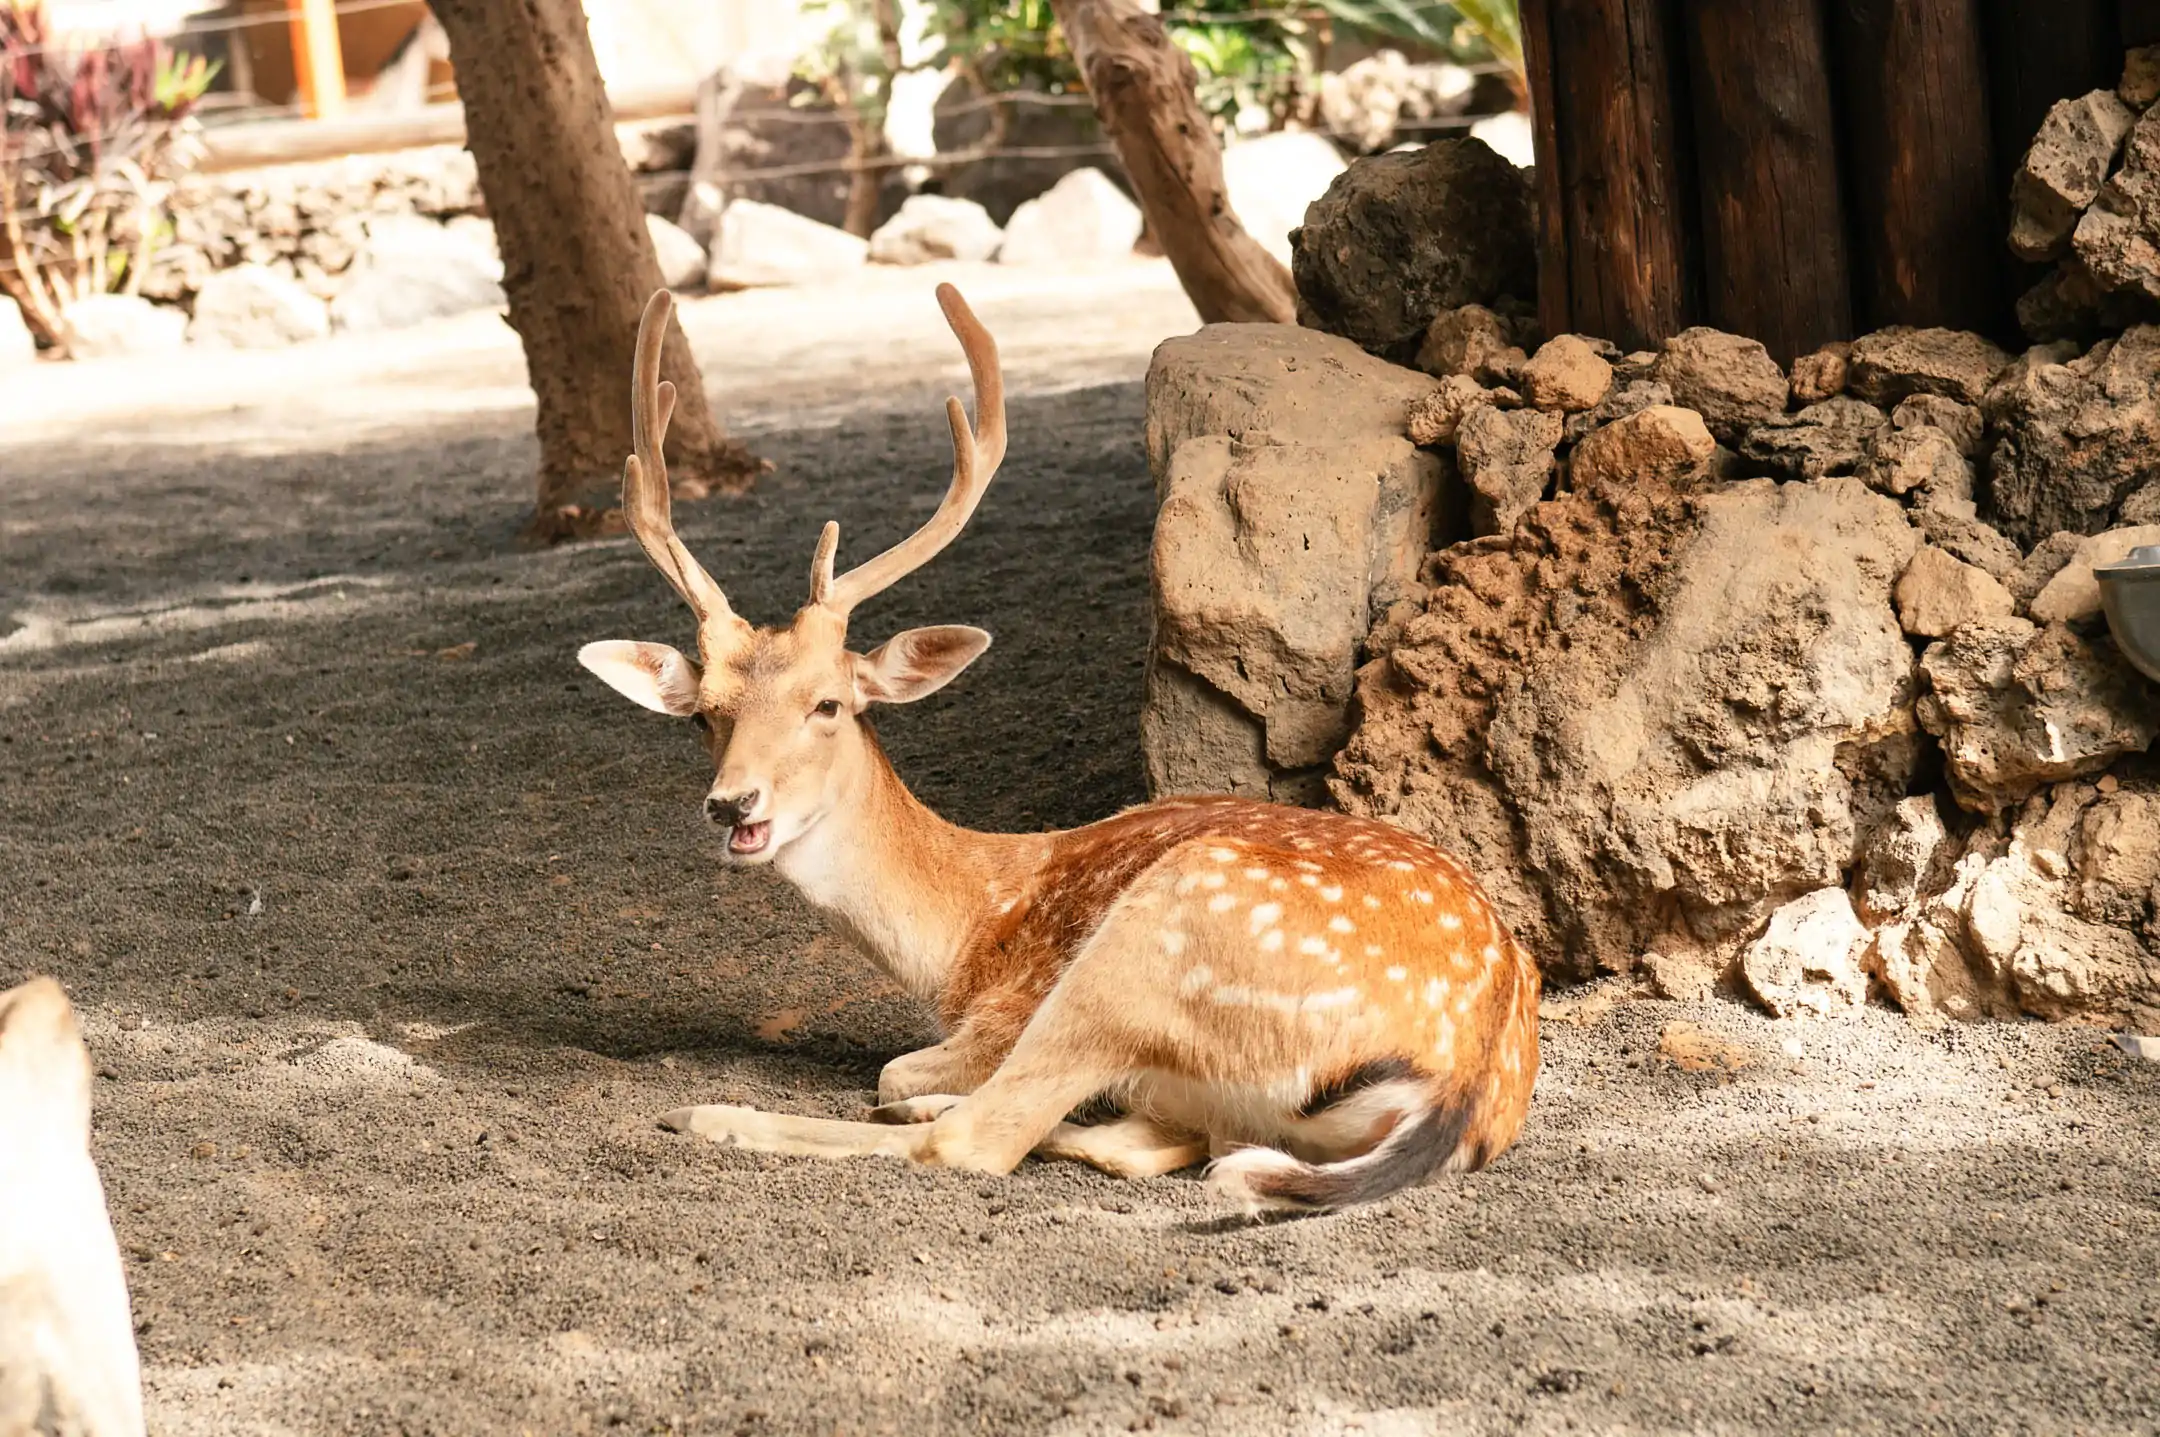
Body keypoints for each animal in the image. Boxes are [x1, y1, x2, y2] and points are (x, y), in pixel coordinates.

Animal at [583, 285, 1546, 1201]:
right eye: (704, 711)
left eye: (827, 702)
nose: (732, 802)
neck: (969, 935)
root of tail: (1462, 1081)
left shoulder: (1008, 1010)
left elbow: (898, 1067)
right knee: (1160, 1145)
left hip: (1155, 936)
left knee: (974, 1136)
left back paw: (709, 1114)